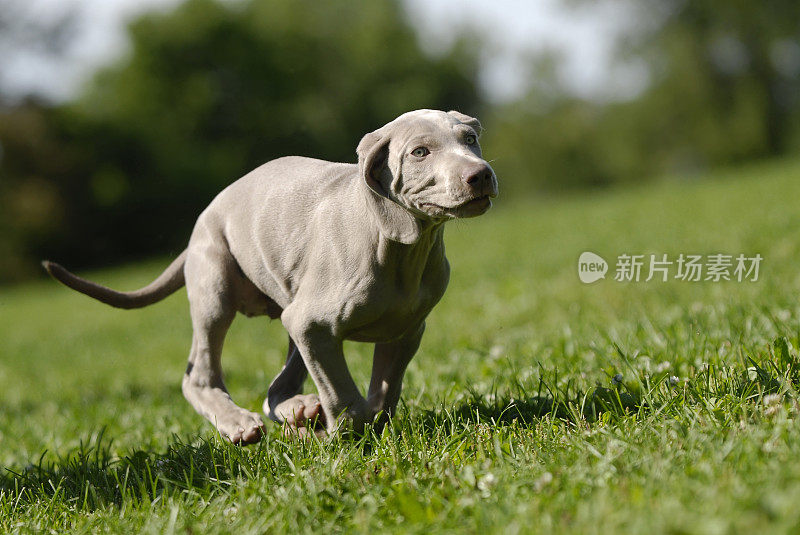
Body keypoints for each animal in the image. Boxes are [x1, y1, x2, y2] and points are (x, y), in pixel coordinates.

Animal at [43, 110, 496, 444]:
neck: (402, 247)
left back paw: (299, 411)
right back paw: (241, 425)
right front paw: (344, 439)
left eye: (470, 139)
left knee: (275, 387)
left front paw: (358, 429)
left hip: (293, 313)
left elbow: (384, 393)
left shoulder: (404, 331)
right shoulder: (313, 323)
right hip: (217, 289)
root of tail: (200, 223)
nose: (480, 175)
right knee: (199, 376)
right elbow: (345, 397)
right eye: (420, 151)